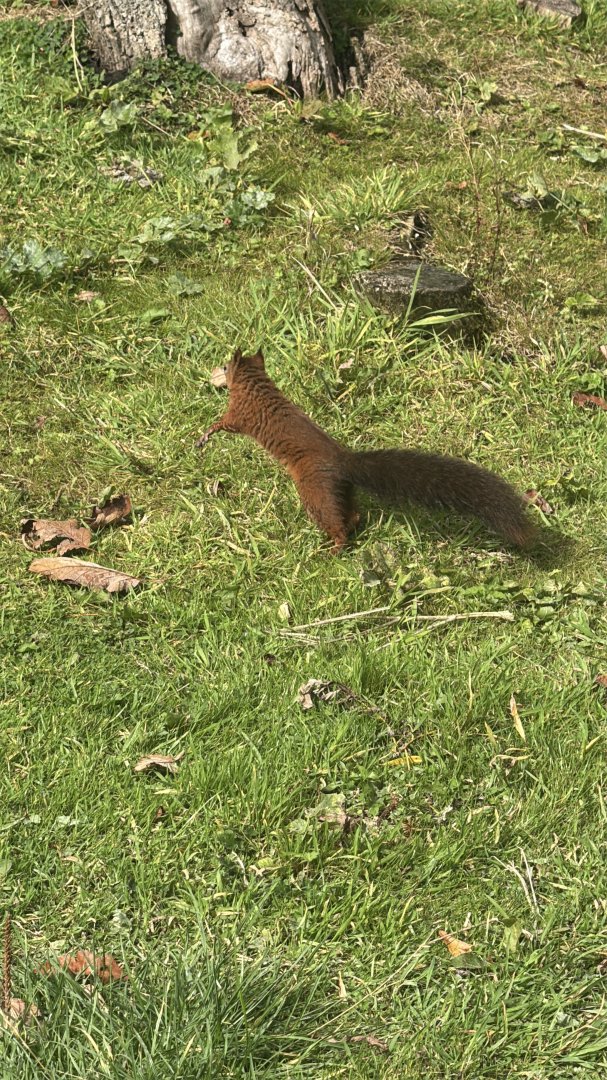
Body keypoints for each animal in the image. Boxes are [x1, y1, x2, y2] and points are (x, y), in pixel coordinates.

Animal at [198, 348, 536, 553]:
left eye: (226, 365)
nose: (217, 371)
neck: (257, 386)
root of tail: (344, 461)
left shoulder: (239, 413)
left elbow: (224, 424)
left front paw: (205, 435)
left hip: (315, 489)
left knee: (333, 521)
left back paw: (334, 547)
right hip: (340, 488)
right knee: (353, 512)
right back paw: (352, 527)